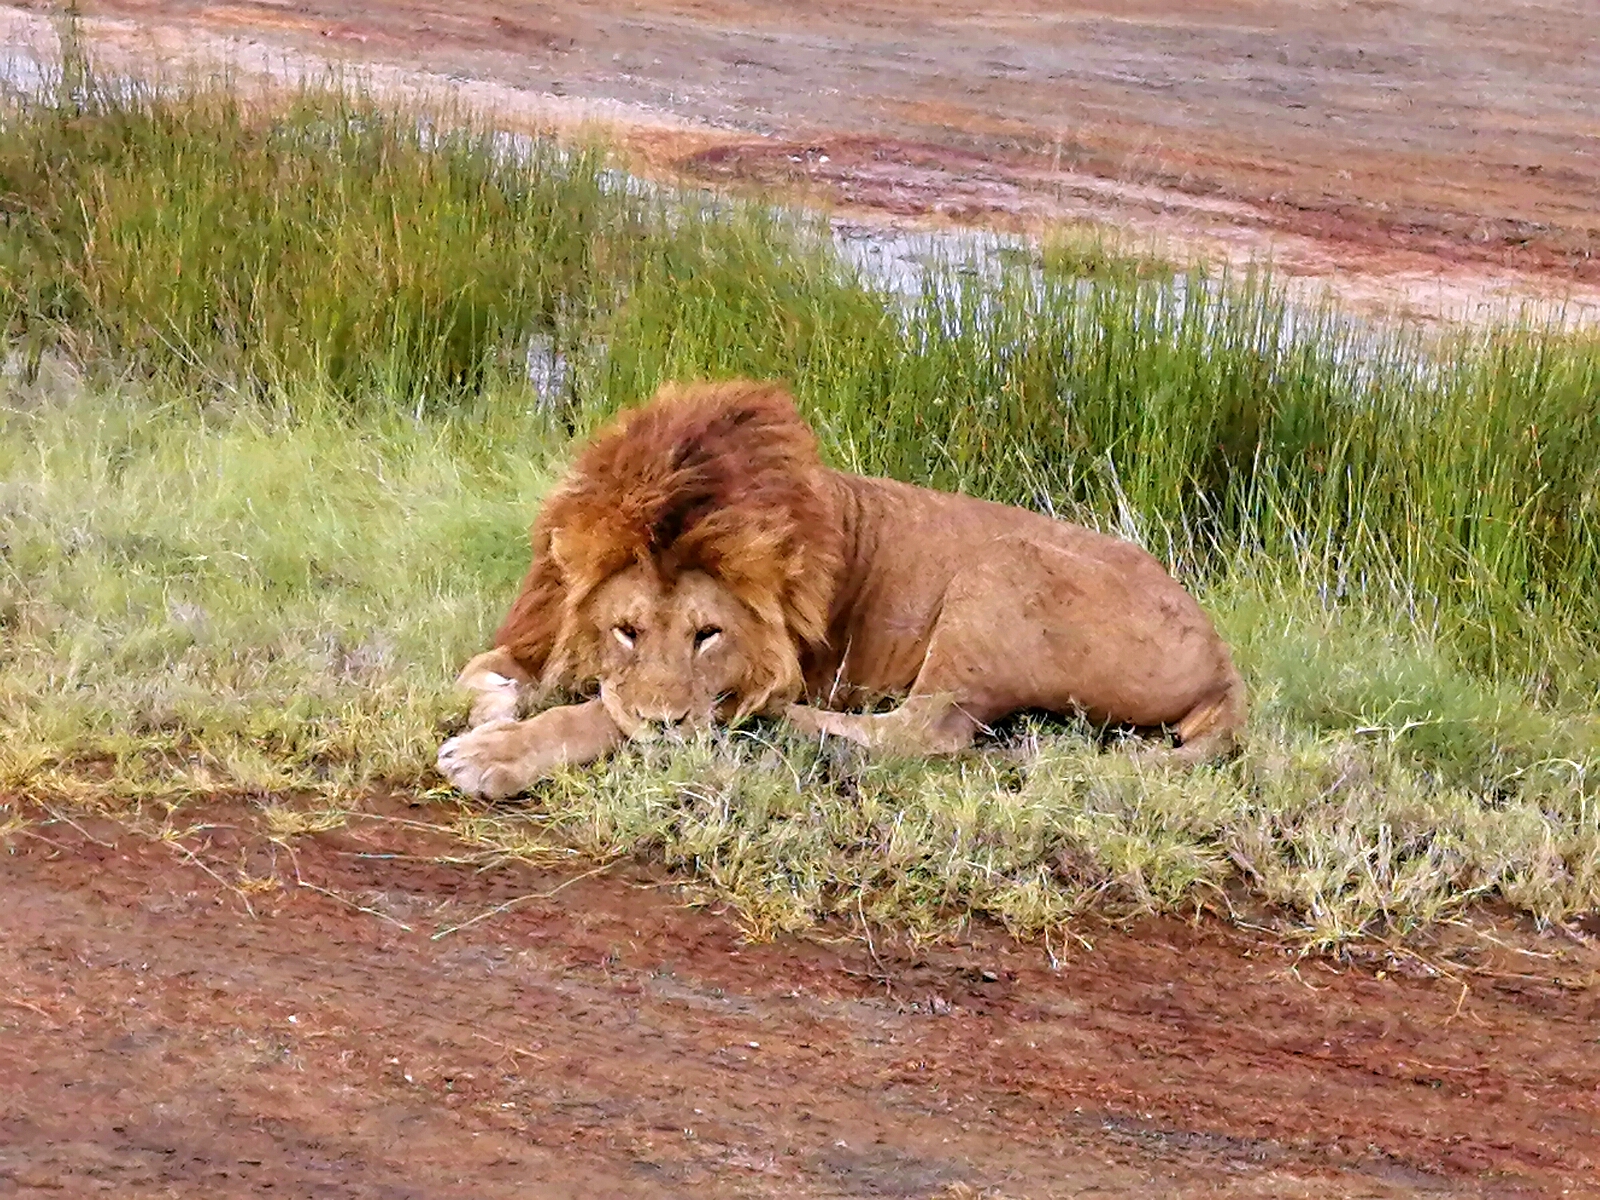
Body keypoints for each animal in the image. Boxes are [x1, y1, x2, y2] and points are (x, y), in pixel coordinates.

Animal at [437, 379, 1245, 800]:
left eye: (708, 635)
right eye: (625, 630)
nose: (669, 725)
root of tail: (1224, 661)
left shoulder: (741, 683)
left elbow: (599, 717)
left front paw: (494, 754)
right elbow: (480, 676)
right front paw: (492, 717)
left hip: (1000, 569)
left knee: (925, 733)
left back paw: (794, 726)